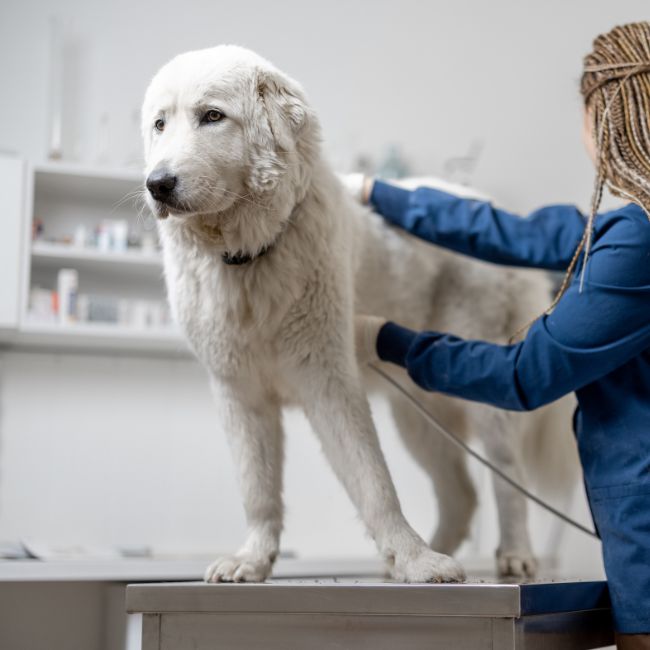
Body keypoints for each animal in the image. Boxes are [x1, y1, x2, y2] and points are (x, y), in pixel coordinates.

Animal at [140, 45, 572, 584]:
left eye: (212, 116)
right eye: (160, 124)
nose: (156, 184)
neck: (248, 258)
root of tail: (492, 207)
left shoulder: (330, 384)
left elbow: (373, 482)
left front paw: (413, 558)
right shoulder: (240, 395)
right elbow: (258, 489)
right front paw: (253, 559)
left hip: (487, 393)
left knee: (507, 478)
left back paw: (513, 555)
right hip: (419, 412)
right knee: (461, 494)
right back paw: (430, 553)